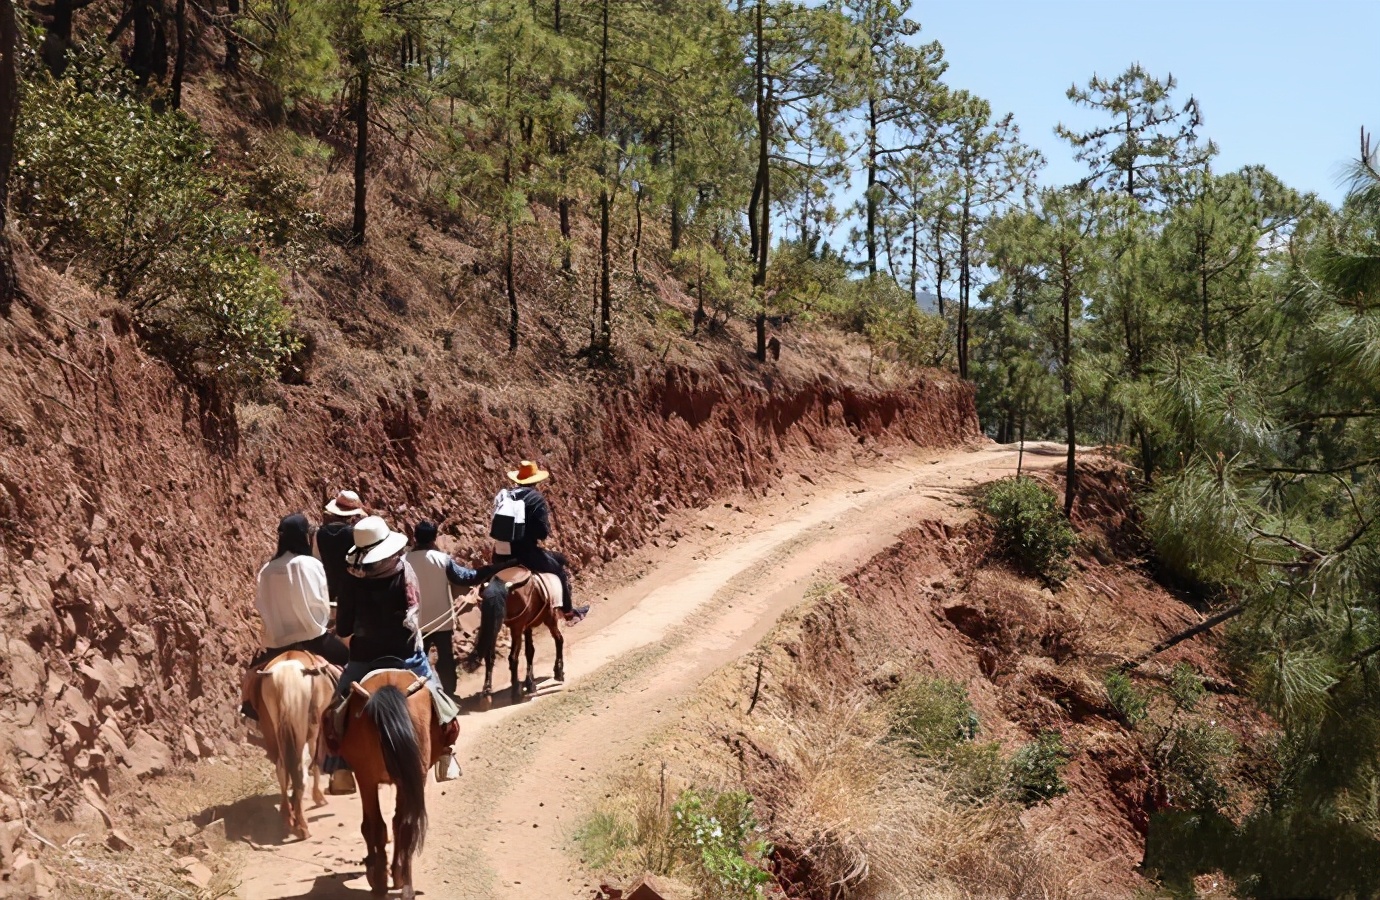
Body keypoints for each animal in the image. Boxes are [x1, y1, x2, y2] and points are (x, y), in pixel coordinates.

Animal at [251, 651, 333, 839]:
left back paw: (288, 817)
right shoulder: (316, 729)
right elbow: (315, 762)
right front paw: (318, 797)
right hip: (305, 727)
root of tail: (285, 671)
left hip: (273, 727)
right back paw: (301, 826)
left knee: (282, 767)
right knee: (300, 769)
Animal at [339, 670, 447, 894]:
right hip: (412, 774)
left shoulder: (367, 778)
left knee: (378, 825)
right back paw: (405, 886)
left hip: (368, 776)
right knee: (405, 824)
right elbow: (397, 821)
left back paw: (381, 884)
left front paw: (376, 873)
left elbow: (371, 825)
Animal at [469, 568, 565, 703]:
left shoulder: (519, 627)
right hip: (530, 624)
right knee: (531, 650)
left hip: (541, 619)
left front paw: (521, 688)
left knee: (558, 639)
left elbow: (519, 655)